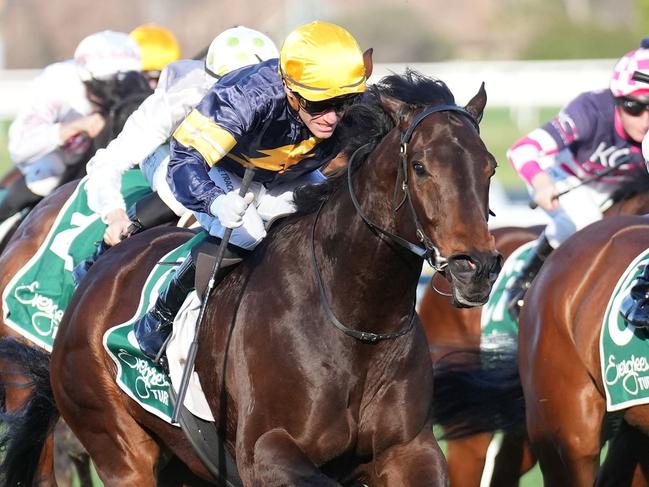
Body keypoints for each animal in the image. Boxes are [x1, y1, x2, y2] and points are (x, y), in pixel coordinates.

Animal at [0, 70, 502, 486]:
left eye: (489, 167)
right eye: (420, 166)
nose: (475, 266)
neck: (357, 322)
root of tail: (97, 271)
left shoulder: (409, 451)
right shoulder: (266, 453)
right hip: (118, 448)